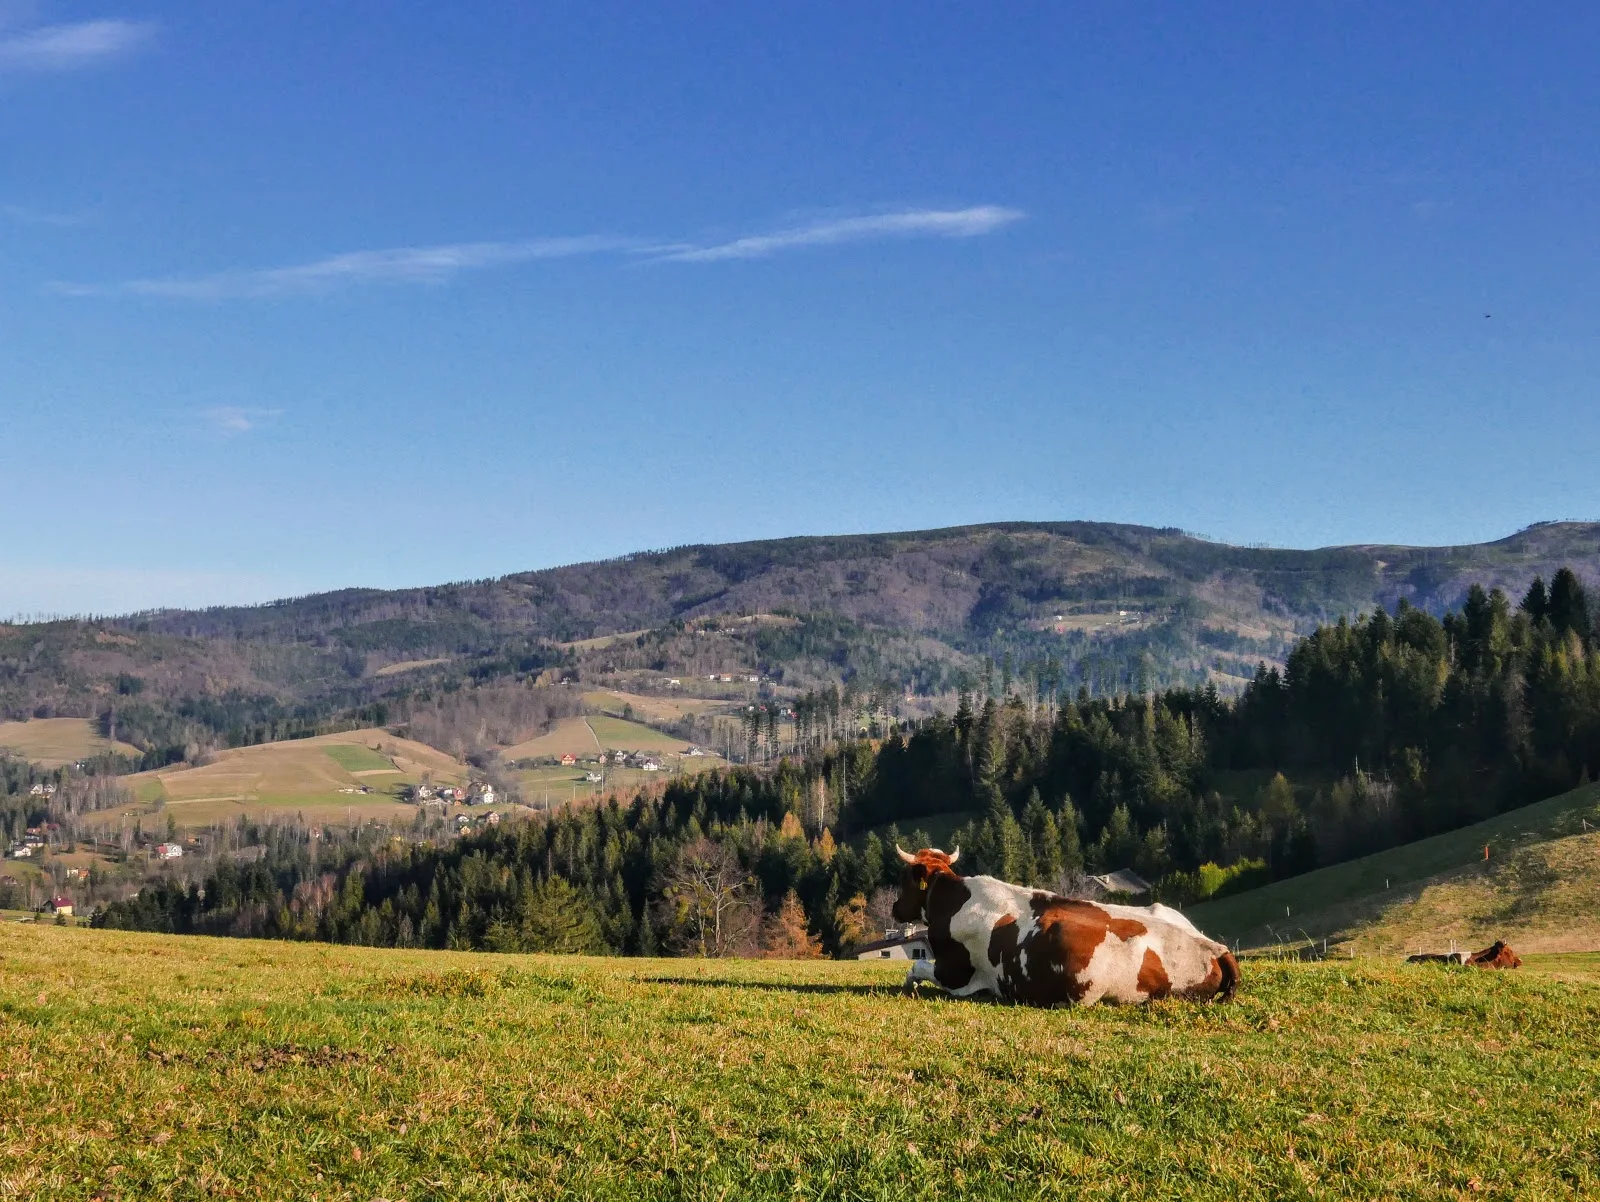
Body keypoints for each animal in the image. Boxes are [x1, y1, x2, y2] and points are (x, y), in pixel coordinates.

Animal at [889, 845, 1235, 1005]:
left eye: (903, 879)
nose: (893, 907)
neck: (953, 899)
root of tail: (1216, 949)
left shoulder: (955, 974)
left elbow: (916, 967)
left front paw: (909, 986)